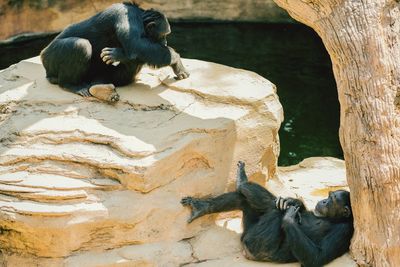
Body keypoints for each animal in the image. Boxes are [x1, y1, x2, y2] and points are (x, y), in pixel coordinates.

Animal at [39, 2, 190, 102]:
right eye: (164, 34)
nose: (165, 43)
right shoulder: (125, 15)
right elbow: (136, 44)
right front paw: (176, 59)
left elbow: (137, 51)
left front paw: (118, 54)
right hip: (50, 58)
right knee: (79, 45)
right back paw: (72, 85)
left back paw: (103, 88)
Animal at [181, 161, 354, 267]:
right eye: (329, 196)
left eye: (332, 199)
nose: (324, 201)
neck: (332, 219)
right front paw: (294, 202)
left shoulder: (344, 232)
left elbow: (317, 257)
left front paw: (289, 216)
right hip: (248, 227)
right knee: (243, 199)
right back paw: (204, 205)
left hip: (259, 249)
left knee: (275, 212)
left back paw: (244, 183)